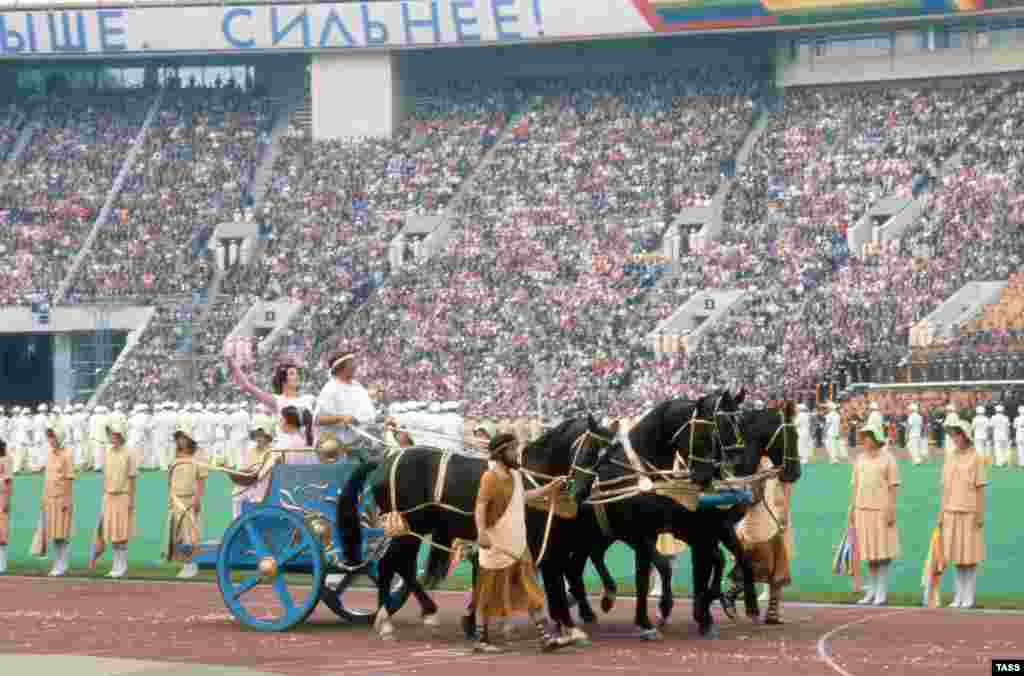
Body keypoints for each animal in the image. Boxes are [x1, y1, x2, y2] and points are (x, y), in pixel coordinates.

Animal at [339, 413, 614, 643]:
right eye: (589, 451)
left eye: (605, 457)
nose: (580, 493)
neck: (530, 476)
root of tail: (385, 459)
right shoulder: (538, 543)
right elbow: (547, 580)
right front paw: (566, 624)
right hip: (408, 525)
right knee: (392, 563)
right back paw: (398, 616)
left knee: (398, 564)